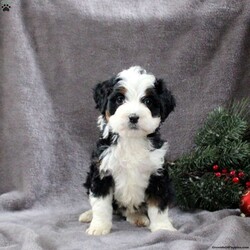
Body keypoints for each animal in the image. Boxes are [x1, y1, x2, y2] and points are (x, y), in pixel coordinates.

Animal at [79, 66, 176, 234]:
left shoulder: (157, 175)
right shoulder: (102, 172)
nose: (133, 117)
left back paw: (138, 217)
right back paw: (88, 215)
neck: (131, 140)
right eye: (119, 99)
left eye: (148, 101)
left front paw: (163, 227)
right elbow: (101, 205)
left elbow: (158, 205)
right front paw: (99, 227)